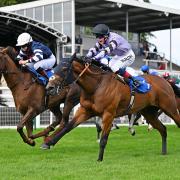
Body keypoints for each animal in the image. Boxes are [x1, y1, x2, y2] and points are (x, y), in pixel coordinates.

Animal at [41, 54, 180, 161]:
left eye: (64, 68)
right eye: (55, 68)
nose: (49, 88)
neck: (96, 86)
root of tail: (165, 81)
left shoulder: (109, 113)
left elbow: (104, 138)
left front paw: (99, 159)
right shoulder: (85, 111)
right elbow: (68, 127)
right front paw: (48, 143)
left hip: (170, 108)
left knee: (176, 122)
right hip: (149, 112)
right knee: (163, 129)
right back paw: (163, 151)